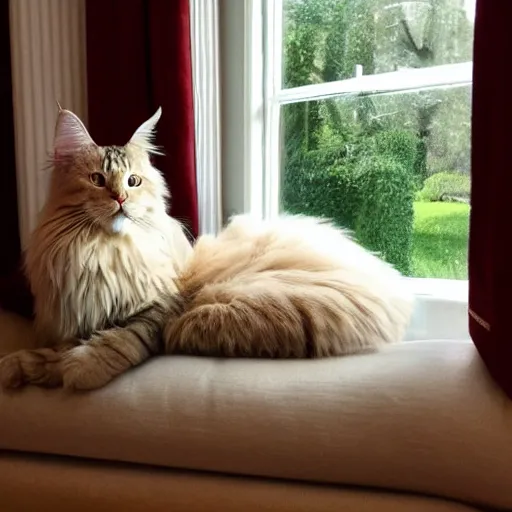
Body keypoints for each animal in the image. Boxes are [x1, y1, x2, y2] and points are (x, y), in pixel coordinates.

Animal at [0, 106, 414, 390]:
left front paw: (81, 368)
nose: (120, 199)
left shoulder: (161, 311)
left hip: (213, 317)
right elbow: (50, 351)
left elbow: (123, 340)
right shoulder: (80, 318)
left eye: (133, 181)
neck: (103, 252)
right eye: (98, 180)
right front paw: (21, 367)